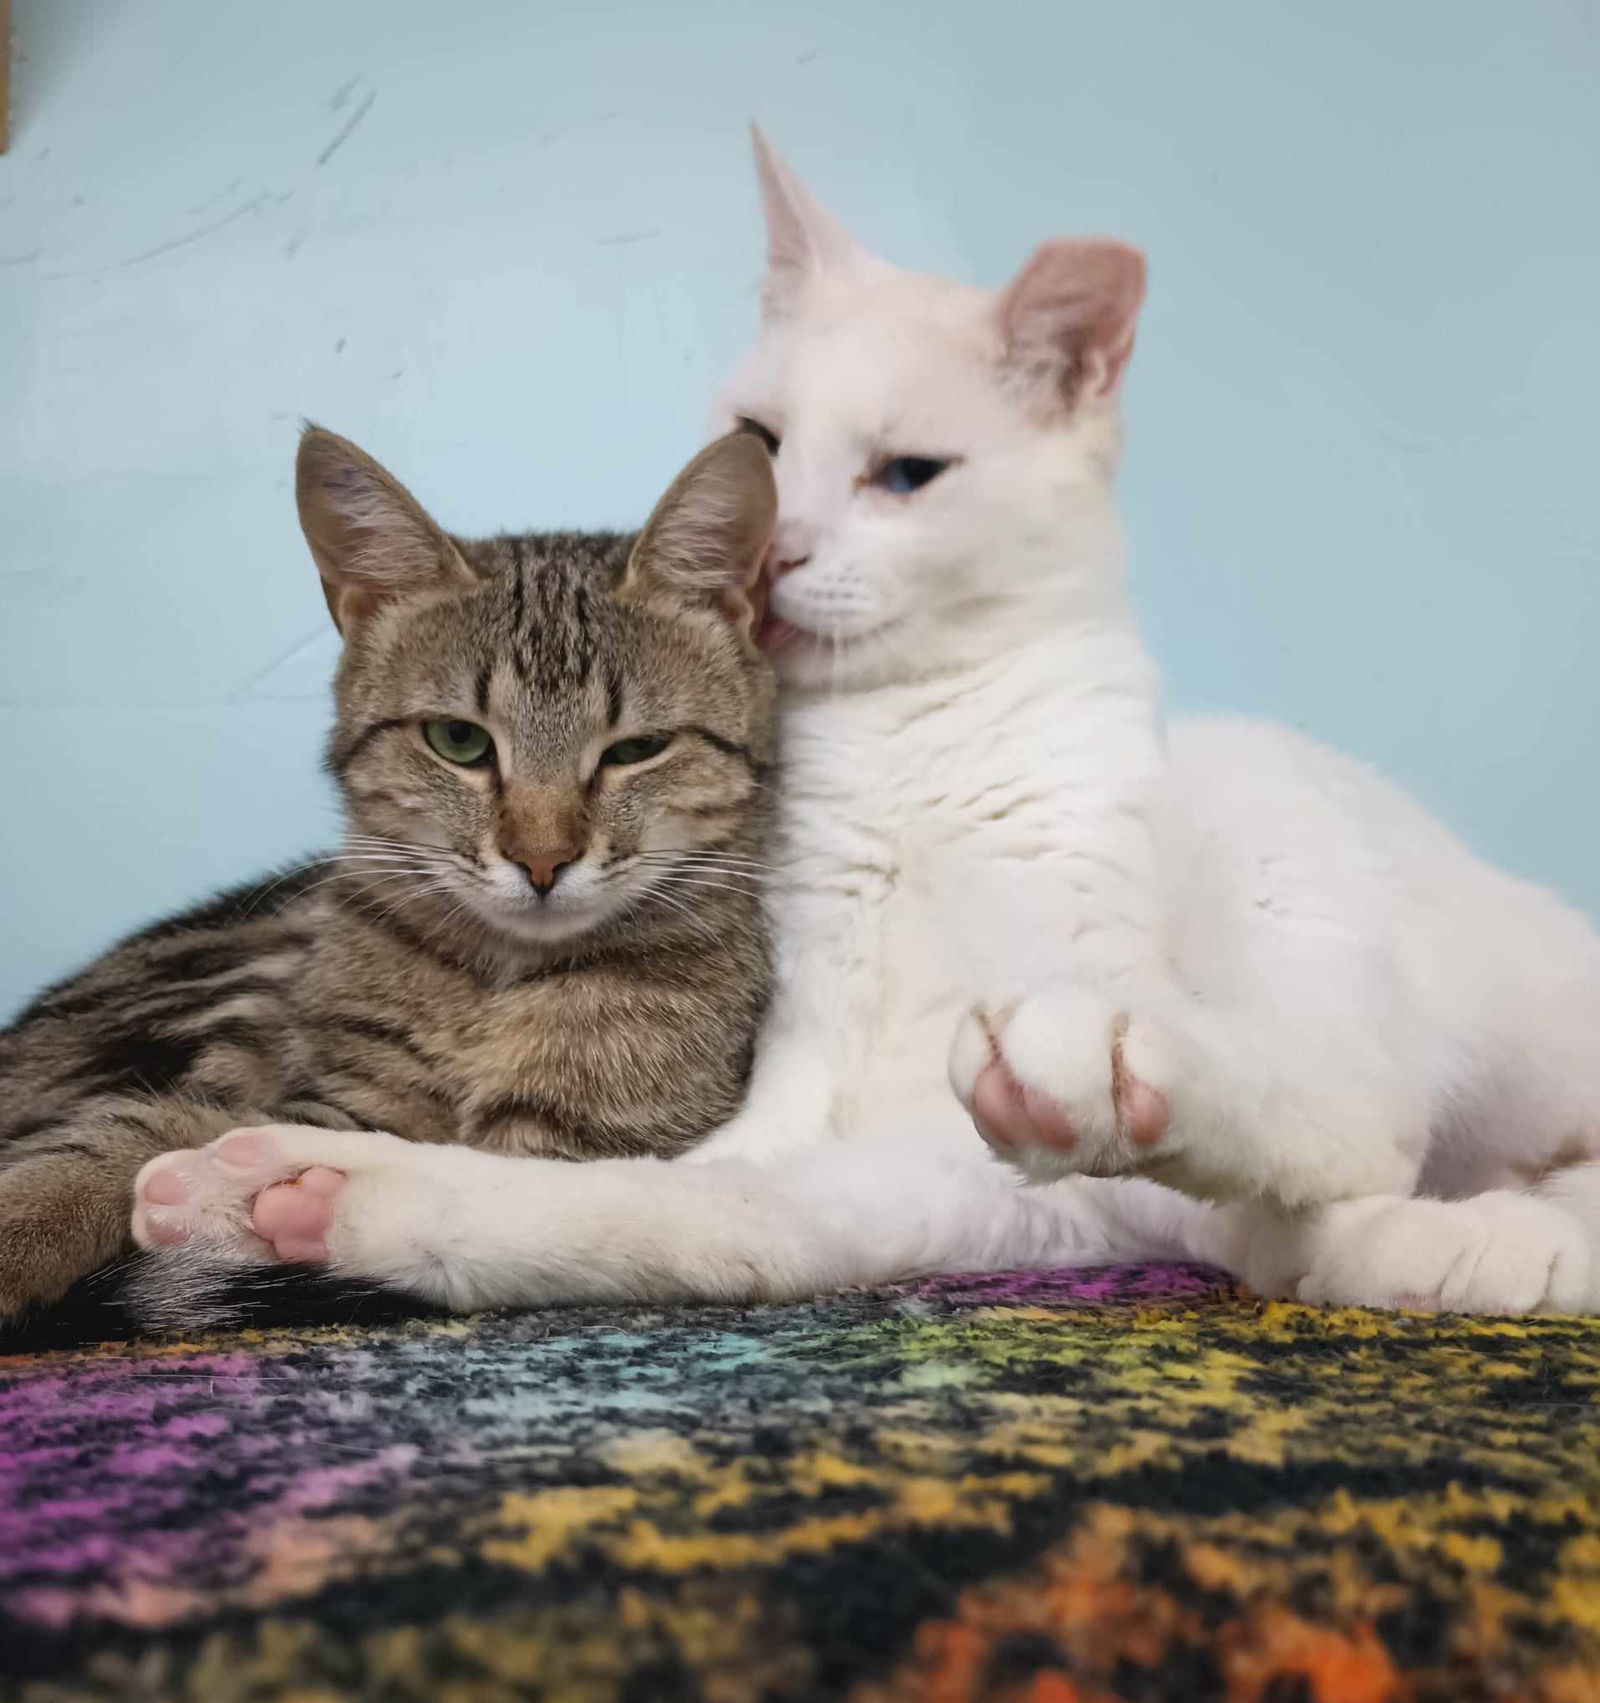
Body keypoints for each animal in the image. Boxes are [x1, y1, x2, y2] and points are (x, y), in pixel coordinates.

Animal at [0, 422, 779, 1314]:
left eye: (637, 749)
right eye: (459, 740)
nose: (542, 859)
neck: (500, 981)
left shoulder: (582, 1135)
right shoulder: (332, 1092)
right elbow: (132, 1133)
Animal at [131, 136, 1600, 1314]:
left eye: (906, 475)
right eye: (764, 440)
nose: (776, 550)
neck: (908, 752)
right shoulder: (819, 1108)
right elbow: (689, 1202)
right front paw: (310, 1188)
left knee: (1361, 1145)